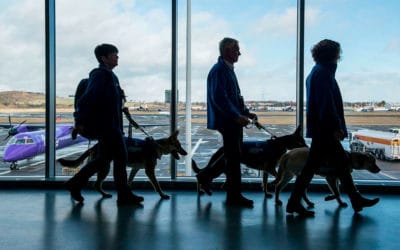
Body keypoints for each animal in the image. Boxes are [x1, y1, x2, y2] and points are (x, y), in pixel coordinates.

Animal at [58, 131, 187, 199]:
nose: (186, 153)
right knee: (95, 183)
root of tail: (94, 146)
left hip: (103, 167)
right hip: (104, 167)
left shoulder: (135, 169)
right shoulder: (149, 171)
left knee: (95, 183)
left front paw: (128, 193)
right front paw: (162, 195)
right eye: (179, 146)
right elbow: (157, 185)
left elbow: (129, 181)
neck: (157, 146)